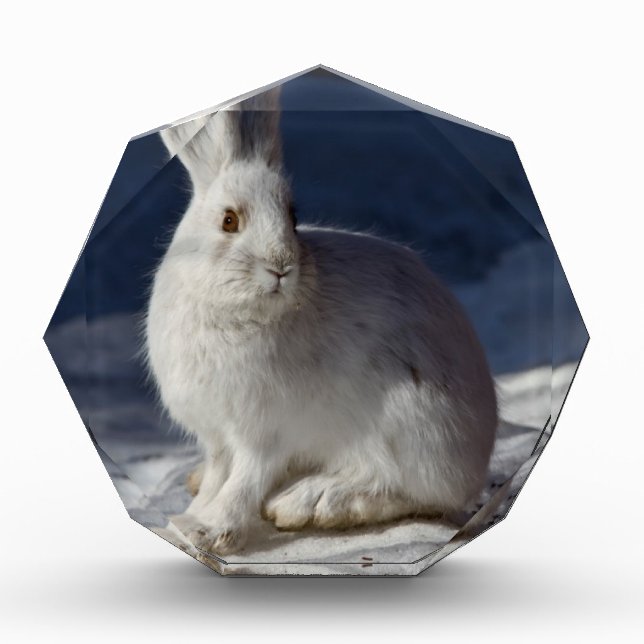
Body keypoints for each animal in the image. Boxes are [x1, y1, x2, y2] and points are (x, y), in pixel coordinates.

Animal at [144, 88, 498, 557]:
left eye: (293, 218)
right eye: (229, 220)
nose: (281, 266)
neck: (240, 313)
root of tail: (478, 456)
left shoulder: (265, 431)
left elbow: (245, 479)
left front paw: (212, 530)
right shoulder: (217, 435)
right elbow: (221, 474)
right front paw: (188, 521)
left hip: (408, 423)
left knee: (405, 489)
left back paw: (313, 501)